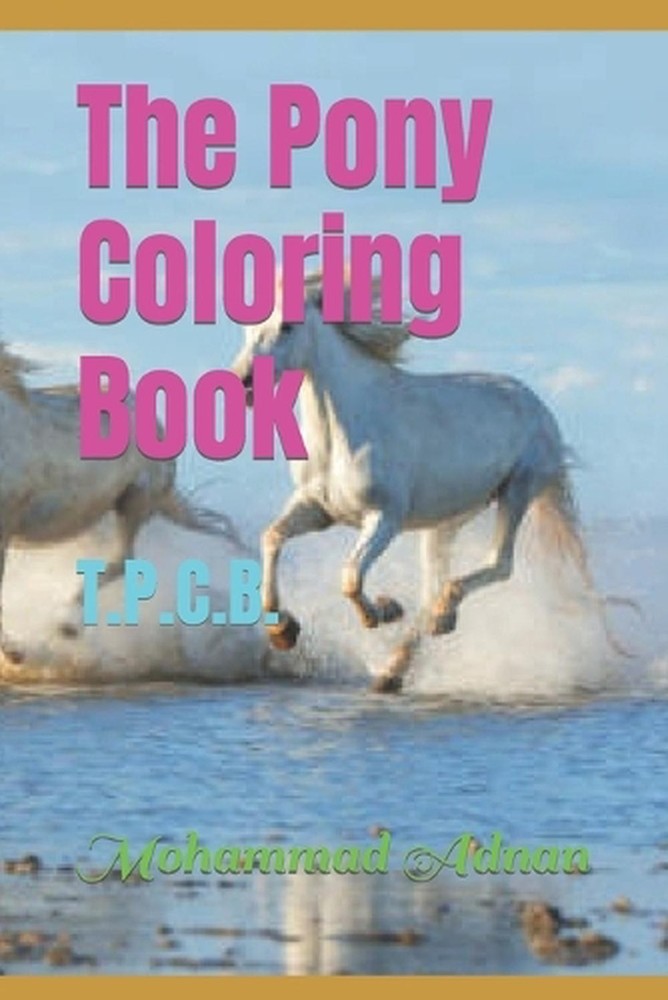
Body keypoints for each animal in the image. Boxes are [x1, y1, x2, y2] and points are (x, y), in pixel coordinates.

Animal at [231, 278, 608, 694]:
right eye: (248, 327)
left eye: (288, 326)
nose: (244, 380)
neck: (345, 432)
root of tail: (539, 407)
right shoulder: (317, 509)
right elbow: (272, 537)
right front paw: (283, 630)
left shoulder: (384, 518)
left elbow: (350, 577)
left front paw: (383, 611)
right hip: (448, 519)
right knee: (433, 586)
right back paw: (396, 666)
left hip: (518, 490)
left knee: (497, 564)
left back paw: (439, 618)